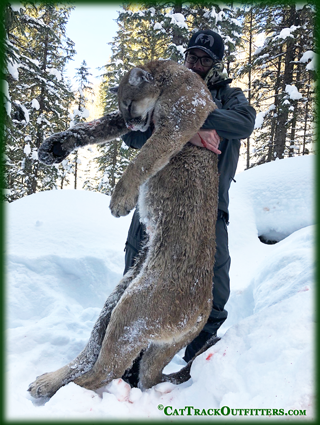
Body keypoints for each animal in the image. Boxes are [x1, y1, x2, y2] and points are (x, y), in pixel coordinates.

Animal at [28, 59, 220, 398]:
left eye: (130, 102)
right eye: (121, 105)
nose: (133, 126)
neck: (173, 77)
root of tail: (199, 316)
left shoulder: (180, 122)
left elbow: (143, 158)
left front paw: (120, 199)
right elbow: (98, 126)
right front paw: (56, 145)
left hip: (133, 311)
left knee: (103, 372)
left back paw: (64, 395)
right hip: (121, 299)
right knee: (95, 356)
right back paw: (48, 382)